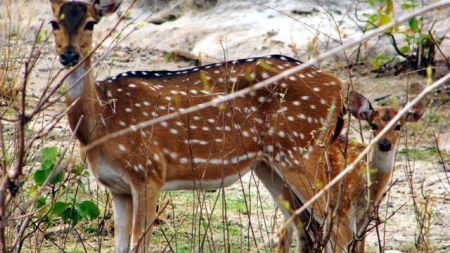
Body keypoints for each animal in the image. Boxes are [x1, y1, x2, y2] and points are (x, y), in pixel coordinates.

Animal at [48, 0, 344, 252]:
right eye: (53, 23)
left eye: (90, 23)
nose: (69, 55)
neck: (100, 125)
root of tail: (339, 86)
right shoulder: (116, 187)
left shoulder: (149, 172)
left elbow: (139, 244)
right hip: (268, 164)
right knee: (306, 226)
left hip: (302, 152)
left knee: (337, 226)